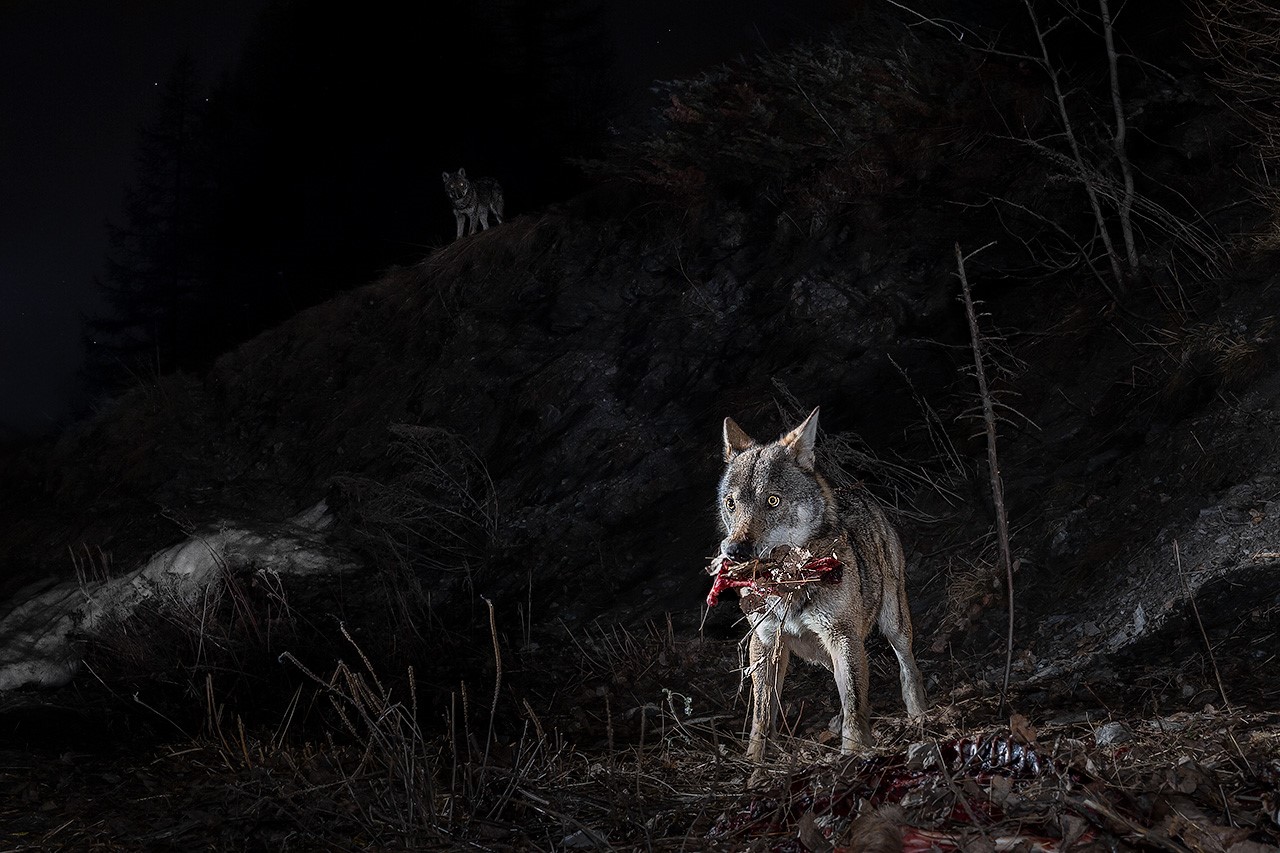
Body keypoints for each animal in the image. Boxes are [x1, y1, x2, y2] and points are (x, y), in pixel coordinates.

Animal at [713, 407, 926, 762]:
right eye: (732, 503)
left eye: (773, 501)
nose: (734, 550)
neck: (789, 585)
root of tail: (854, 490)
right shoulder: (765, 643)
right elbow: (762, 714)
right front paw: (755, 765)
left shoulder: (842, 635)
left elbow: (853, 703)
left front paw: (851, 755)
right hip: (822, 650)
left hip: (892, 625)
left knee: (906, 667)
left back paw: (919, 714)